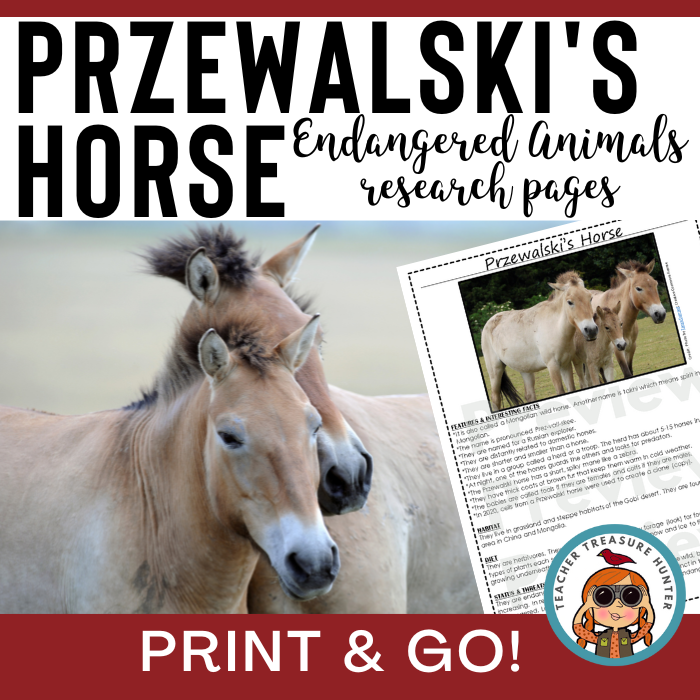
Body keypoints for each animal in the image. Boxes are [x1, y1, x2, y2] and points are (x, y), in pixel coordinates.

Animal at [481, 271, 598, 411]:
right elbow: (560, 391)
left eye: (590, 298)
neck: (555, 326)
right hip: (495, 371)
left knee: (529, 395)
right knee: (495, 399)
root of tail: (488, 323)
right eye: (570, 302)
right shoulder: (552, 366)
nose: (591, 330)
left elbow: (571, 388)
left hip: (525, 370)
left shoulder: (565, 364)